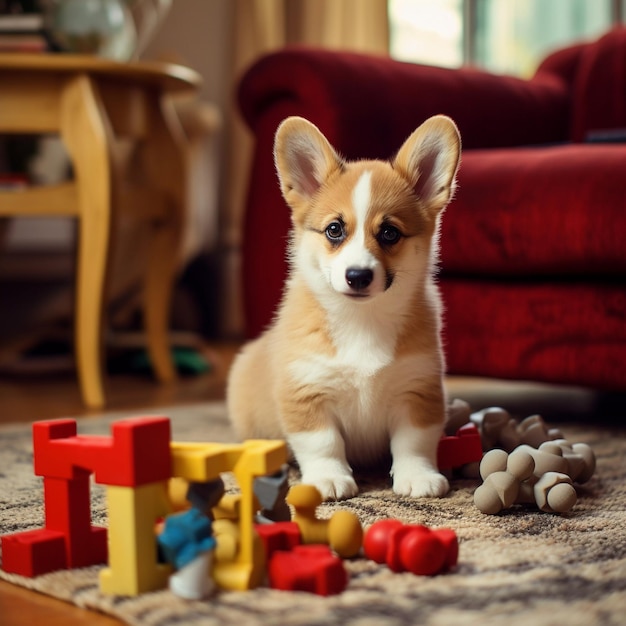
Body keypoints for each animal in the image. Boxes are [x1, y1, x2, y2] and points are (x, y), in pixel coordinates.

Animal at [227, 114, 460, 500]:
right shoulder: (306, 391)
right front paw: (328, 479)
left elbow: (413, 442)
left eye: (390, 233)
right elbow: (323, 443)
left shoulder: (418, 390)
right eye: (334, 230)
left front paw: (418, 477)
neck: (361, 320)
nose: (358, 276)